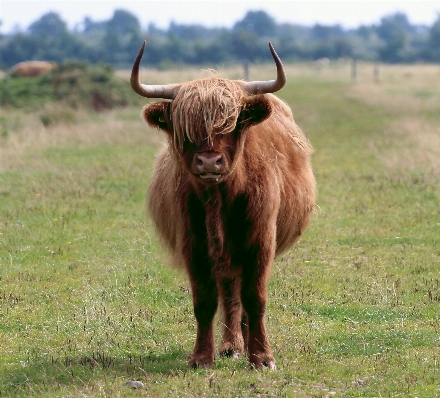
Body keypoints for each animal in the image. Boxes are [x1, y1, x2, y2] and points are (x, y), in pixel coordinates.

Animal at [131, 41, 316, 370]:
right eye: (185, 129)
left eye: (232, 124)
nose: (209, 162)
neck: (219, 199)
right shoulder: (193, 243)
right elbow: (204, 301)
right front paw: (201, 357)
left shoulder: (261, 240)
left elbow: (256, 298)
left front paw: (262, 357)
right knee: (230, 293)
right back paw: (231, 345)